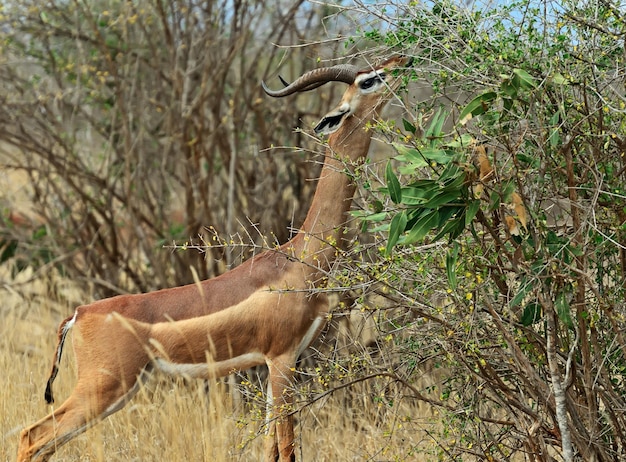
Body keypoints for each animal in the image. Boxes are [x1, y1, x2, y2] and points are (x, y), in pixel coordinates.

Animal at [15, 55, 410, 462]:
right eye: (368, 80)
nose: (403, 59)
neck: (300, 259)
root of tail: (79, 314)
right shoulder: (281, 359)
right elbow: (287, 447)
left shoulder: (278, 362)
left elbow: (269, 446)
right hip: (104, 387)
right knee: (31, 436)